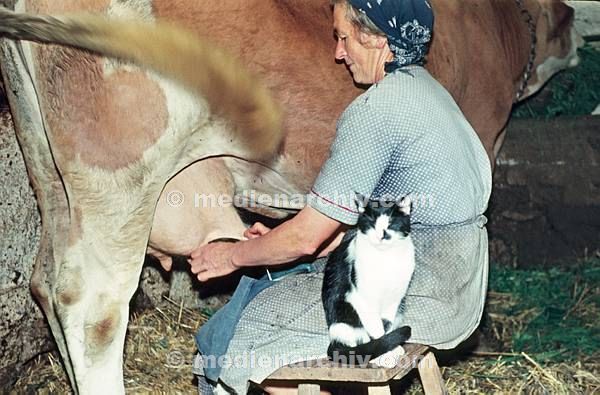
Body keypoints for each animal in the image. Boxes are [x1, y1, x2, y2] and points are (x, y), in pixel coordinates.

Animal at [322, 193, 414, 366]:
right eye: (372, 223)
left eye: (391, 223)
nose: (382, 235)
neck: (386, 259)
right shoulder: (361, 298)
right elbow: (376, 328)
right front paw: (385, 353)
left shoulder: (395, 298)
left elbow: (386, 324)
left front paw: (391, 347)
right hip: (344, 317)